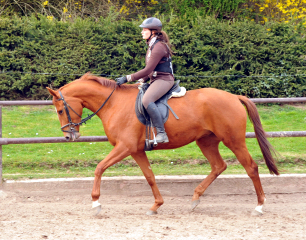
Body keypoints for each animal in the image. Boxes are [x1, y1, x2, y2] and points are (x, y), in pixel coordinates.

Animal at [46, 73, 278, 216]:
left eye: (60, 110)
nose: (69, 136)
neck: (114, 103)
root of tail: (234, 97)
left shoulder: (125, 147)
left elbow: (99, 167)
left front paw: (95, 203)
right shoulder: (136, 150)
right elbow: (149, 176)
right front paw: (156, 205)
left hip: (234, 141)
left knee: (251, 167)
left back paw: (259, 206)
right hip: (206, 141)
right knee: (218, 166)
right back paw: (195, 198)